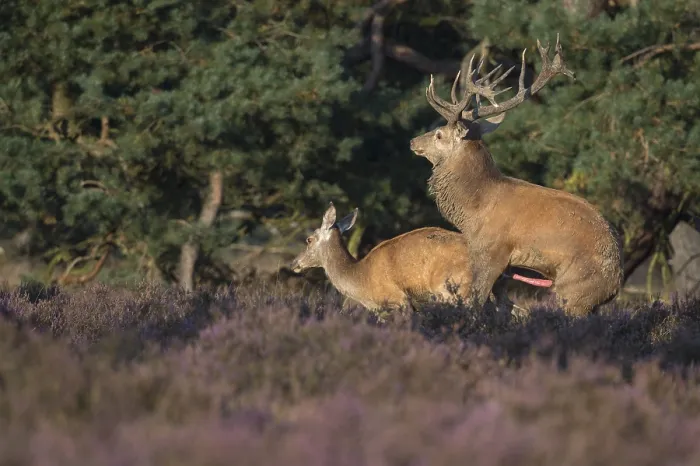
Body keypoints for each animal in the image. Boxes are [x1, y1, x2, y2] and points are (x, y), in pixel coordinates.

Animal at [290, 202, 552, 315]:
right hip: (499, 291)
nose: (294, 264)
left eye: (309, 239)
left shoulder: (398, 299)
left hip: (453, 289)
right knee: (520, 312)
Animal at [409, 34, 624, 317]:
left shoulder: (491, 253)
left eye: (439, 134)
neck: (473, 212)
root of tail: (616, 281)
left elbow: (476, 303)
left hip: (575, 290)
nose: (413, 141)